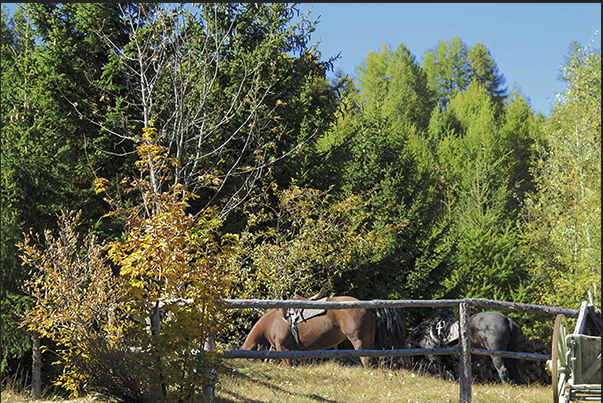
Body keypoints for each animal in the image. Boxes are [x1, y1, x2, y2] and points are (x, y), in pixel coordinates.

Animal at [241, 294, 406, 370]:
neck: (273, 321)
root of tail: (366, 306)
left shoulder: (284, 349)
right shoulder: (290, 351)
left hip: (359, 341)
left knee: (367, 360)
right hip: (368, 341)